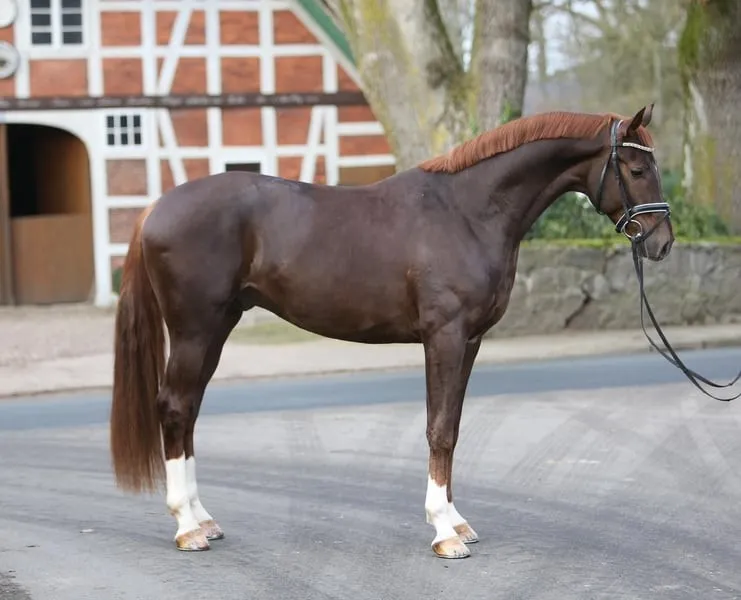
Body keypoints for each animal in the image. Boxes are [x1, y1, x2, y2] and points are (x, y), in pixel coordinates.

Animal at [109, 104, 674, 559]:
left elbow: (453, 427)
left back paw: (203, 519)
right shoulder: (444, 336)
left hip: (217, 327)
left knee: (188, 411)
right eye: (637, 168)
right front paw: (444, 533)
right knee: (175, 407)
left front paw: (457, 522)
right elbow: (438, 429)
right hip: (195, 328)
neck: (467, 211)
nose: (662, 243)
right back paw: (187, 527)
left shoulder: (470, 342)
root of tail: (156, 207)